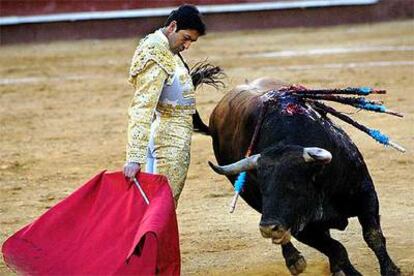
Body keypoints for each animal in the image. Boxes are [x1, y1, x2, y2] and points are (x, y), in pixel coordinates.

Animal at [207, 78, 402, 276]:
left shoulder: (365, 195)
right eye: (261, 188)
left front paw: (391, 271)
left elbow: (373, 236)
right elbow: (337, 250)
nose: (268, 228)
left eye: (294, 185)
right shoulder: (301, 228)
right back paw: (295, 261)